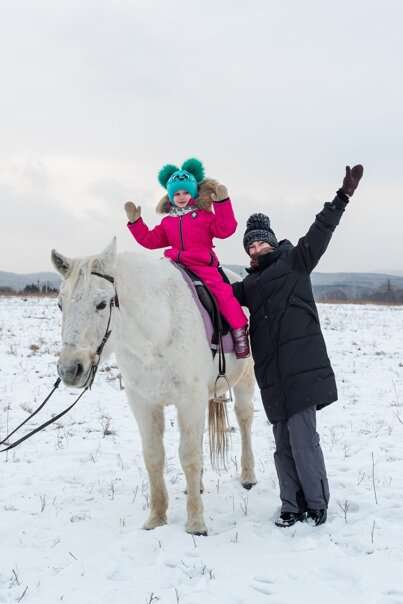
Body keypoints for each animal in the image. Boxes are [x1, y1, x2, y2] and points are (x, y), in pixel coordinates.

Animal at [52, 239, 258, 532]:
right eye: (60, 305)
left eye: (101, 304)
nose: (70, 369)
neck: (157, 330)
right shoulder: (143, 402)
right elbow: (154, 456)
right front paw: (157, 518)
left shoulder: (189, 400)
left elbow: (189, 456)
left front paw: (196, 523)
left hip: (244, 380)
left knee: (244, 419)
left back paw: (248, 476)